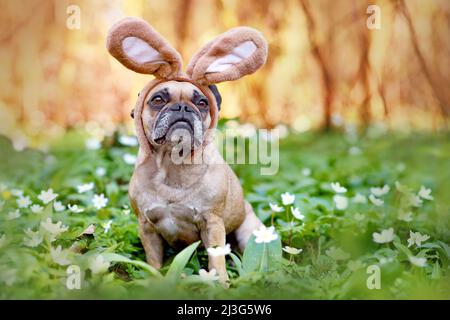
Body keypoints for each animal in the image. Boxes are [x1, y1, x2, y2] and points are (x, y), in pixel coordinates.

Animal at [106, 16, 268, 284]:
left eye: (201, 103)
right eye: (158, 100)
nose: (182, 107)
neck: (172, 164)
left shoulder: (212, 224)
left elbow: (216, 258)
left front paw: (220, 282)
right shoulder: (146, 227)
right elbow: (153, 258)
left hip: (249, 232)